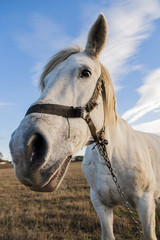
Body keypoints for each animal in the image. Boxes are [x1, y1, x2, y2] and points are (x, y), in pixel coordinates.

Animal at [9, 14, 160, 239]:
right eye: (46, 81)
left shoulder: (145, 204)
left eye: (85, 72)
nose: (24, 149)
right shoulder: (101, 205)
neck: (110, 157)